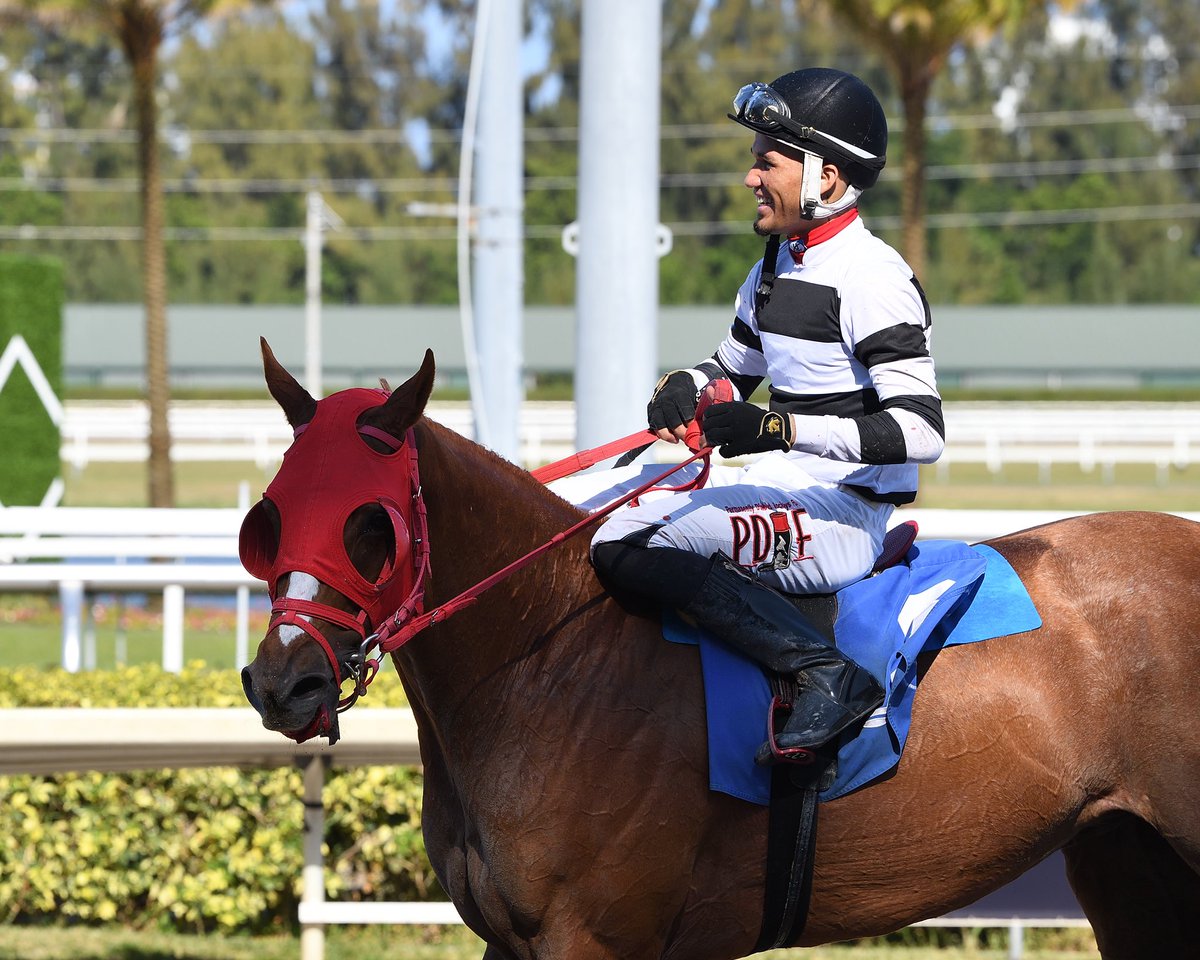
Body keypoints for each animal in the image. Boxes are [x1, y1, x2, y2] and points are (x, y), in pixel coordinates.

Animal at [238, 345, 1200, 960]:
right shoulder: (513, 943)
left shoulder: (594, 938)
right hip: (1125, 860)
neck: (546, 667)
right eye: (271, 515)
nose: (283, 681)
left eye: (371, 525)